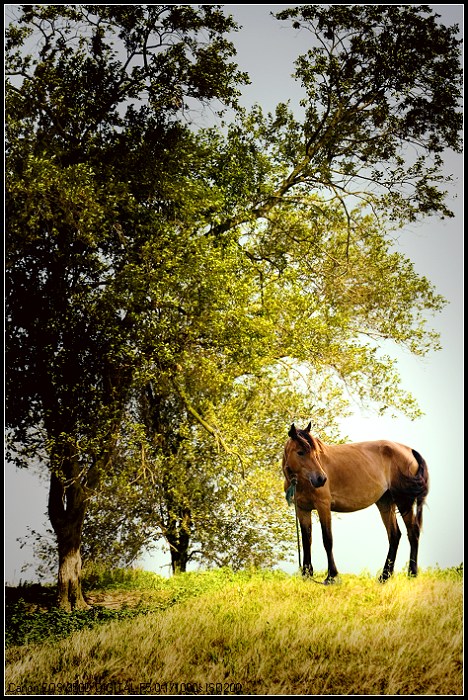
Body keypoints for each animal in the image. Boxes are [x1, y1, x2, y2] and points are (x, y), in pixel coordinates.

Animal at [284, 424, 430, 584]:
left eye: (316, 453)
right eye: (300, 452)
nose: (321, 479)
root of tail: (409, 450)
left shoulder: (323, 506)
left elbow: (327, 540)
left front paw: (331, 576)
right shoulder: (302, 510)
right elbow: (306, 540)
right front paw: (307, 574)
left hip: (403, 501)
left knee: (413, 532)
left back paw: (412, 574)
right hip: (385, 503)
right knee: (394, 535)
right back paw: (384, 576)